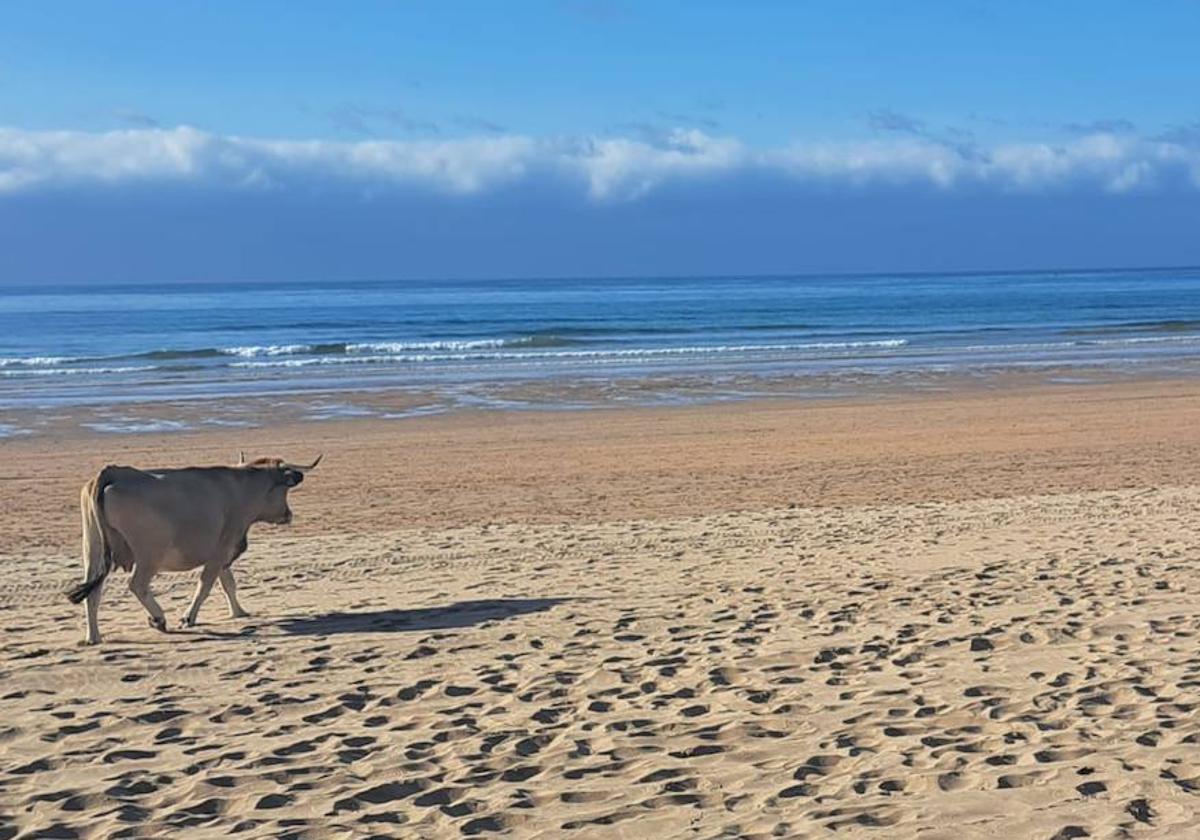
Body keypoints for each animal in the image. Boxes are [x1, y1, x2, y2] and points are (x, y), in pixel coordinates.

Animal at [65, 453, 319, 643]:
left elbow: (228, 584)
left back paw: (93, 637)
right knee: (137, 585)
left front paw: (239, 612)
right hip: (148, 556)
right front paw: (188, 617)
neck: (241, 487)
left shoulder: (222, 552)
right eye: (285, 489)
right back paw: (159, 619)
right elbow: (206, 585)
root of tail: (112, 472)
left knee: (93, 594)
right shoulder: (221, 550)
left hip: (93, 551)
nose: (288, 515)